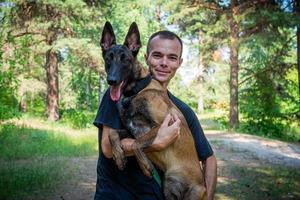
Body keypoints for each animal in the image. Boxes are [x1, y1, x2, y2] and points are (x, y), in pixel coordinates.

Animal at [101, 21, 206, 199]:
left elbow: (136, 144)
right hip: (169, 190)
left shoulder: (161, 126)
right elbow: (112, 134)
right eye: (108, 59)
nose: (111, 80)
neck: (135, 92)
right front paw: (118, 156)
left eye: (125, 60)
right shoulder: (131, 130)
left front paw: (145, 166)